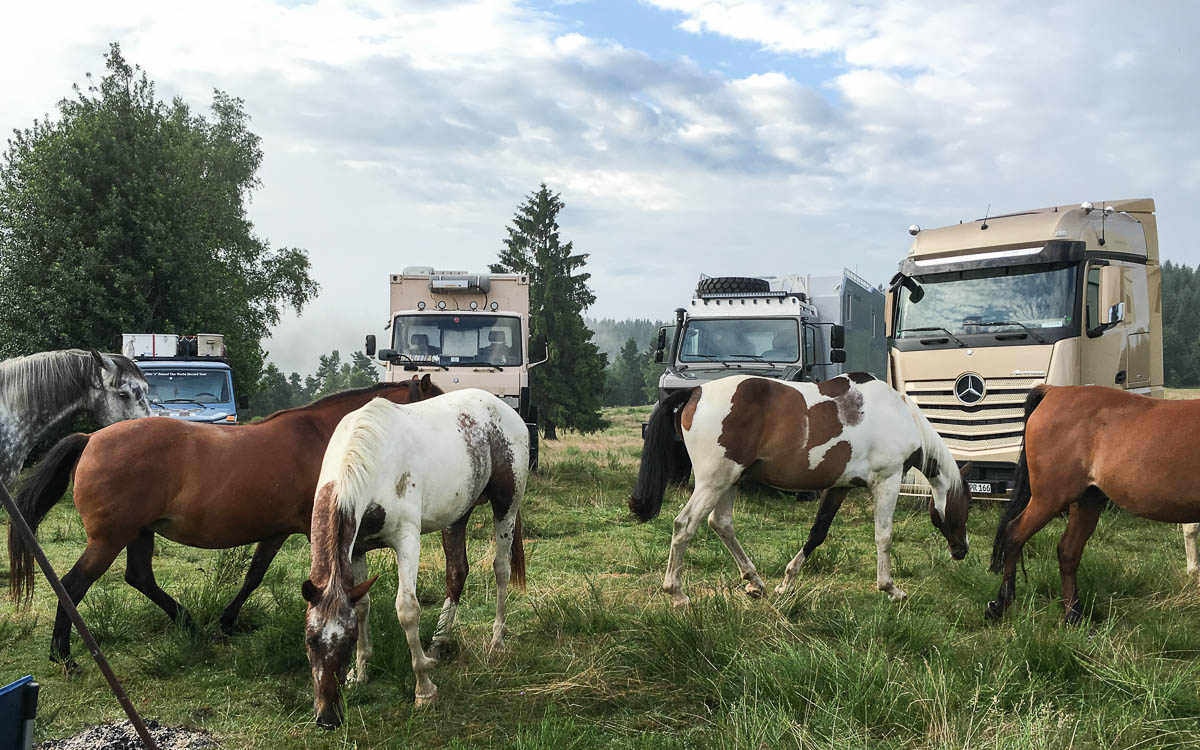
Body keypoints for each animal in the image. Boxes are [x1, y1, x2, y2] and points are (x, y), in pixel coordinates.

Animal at [6, 376, 457, 668]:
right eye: (434, 403)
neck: (329, 439)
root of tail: (90, 440)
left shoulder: (276, 531)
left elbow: (253, 575)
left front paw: (226, 622)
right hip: (109, 539)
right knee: (73, 585)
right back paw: (63, 656)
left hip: (138, 533)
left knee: (139, 578)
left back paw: (189, 623)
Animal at [302, 388, 528, 729]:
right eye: (310, 639)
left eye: (347, 639)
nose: (328, 718)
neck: (371, 460)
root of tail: (501, 406)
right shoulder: (356, 549)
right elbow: (363, 604)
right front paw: (361, 672)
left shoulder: (407, 539)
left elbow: (407, 610)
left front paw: (424, 689)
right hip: (457, 515)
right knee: (456, 573)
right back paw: (438, 643)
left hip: (506, 507)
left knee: (500, 570)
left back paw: (496, 641)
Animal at [631, 373, 971, 607]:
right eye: (964, 506)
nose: (962, 551)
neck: (900, 416)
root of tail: (696, 391)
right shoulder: (887, 480)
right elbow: (884, 536)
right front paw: (890, 588)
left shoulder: (839, 486)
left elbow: (817, 532)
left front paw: (787, 581)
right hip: (713, 482)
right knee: (685, 525)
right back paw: (677, 594)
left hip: (729, 480)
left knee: (721, 524)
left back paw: (755, 582)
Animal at [988, 385, 1200, 622]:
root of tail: (1053, 391)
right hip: (1048, 499)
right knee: (1014, 534)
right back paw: (1001, 604)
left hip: (1086, 502)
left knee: (1068, 552)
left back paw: (1073, 617)